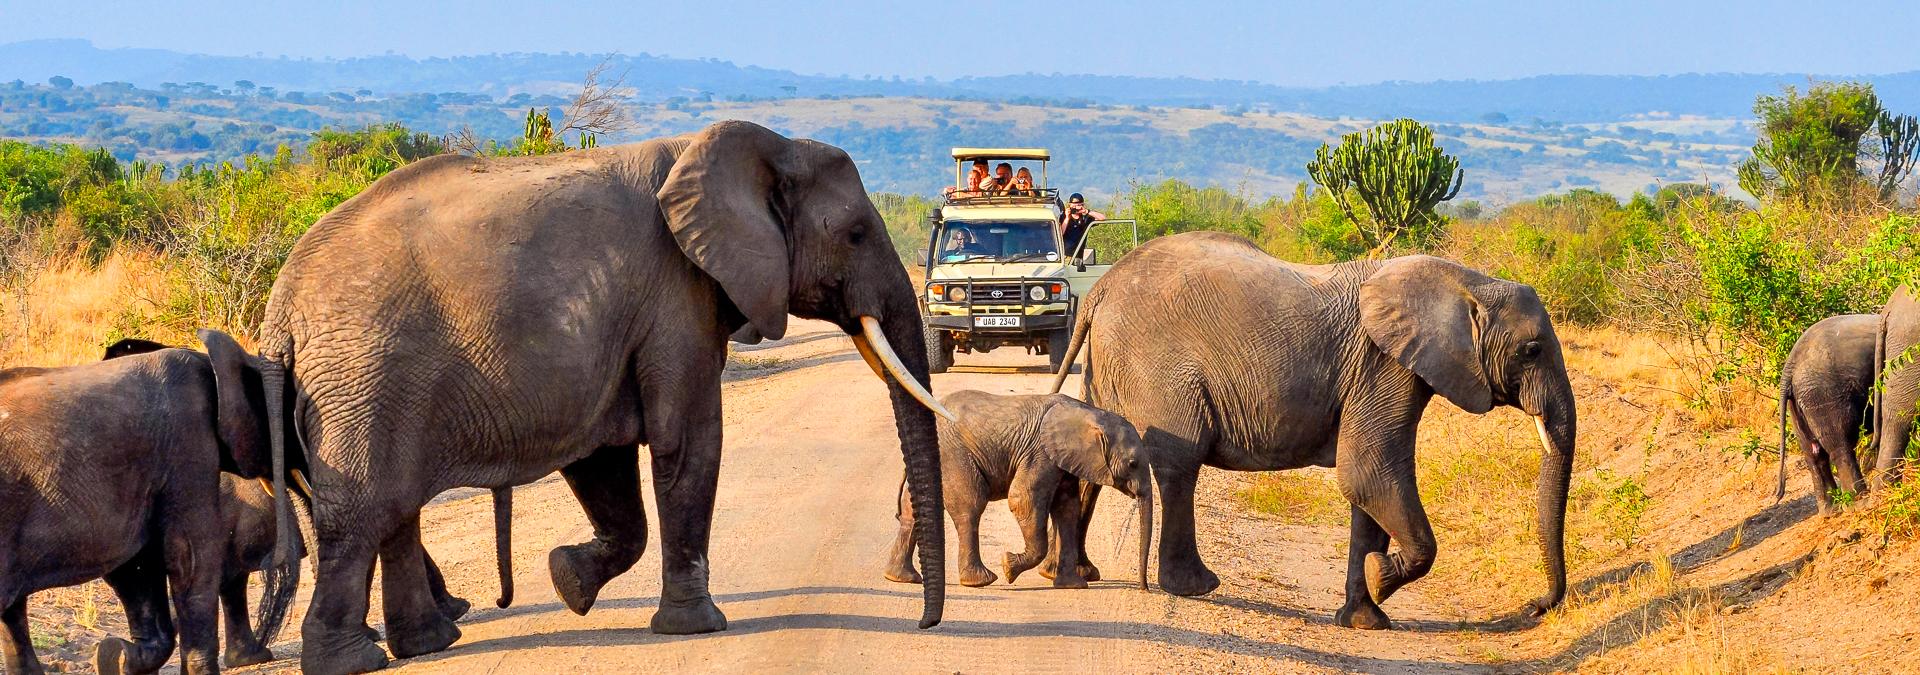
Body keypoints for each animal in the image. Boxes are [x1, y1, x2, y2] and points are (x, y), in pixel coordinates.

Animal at [247, 121, 952, 675]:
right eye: (856, 234)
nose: (925, 625)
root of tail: (279, 312)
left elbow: (603, 460)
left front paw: (568, 580)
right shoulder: (676, 293)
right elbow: (688, 440)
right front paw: (698, 628)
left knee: (394, 509)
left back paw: (429, 644)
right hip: (365, 380)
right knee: (362, 513)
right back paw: (354, 662)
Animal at [883, 391, 1152, 590]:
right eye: (1133, 464)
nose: (1144, 588)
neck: (1092, 413)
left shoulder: (1063, 460)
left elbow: (1067, 509)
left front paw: (1072, 586)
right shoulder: (1040, 453)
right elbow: (1023, 499)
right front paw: (1008, 567)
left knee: (914, 511)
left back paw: (901, 578)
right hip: (953, 454)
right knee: (970, 507)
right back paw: (980, 581)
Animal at [1774, 314, 1881, 510]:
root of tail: (1790, 366)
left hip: (1800, 403)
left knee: (1813, 453)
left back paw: (1831, 510)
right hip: (1824, 395)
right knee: (1841, 445)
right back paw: (1859, 501)